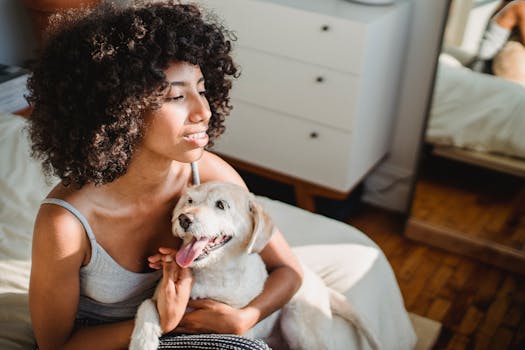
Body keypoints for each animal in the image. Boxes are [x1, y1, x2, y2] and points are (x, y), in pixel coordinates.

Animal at [129, 182, 378, 348]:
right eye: (190, 201)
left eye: (221, 205)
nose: (183, 218)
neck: (212, 275)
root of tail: (321, 284)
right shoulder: (160, 299)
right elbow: (146, 306)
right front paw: (142, 340)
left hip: (300, 327)